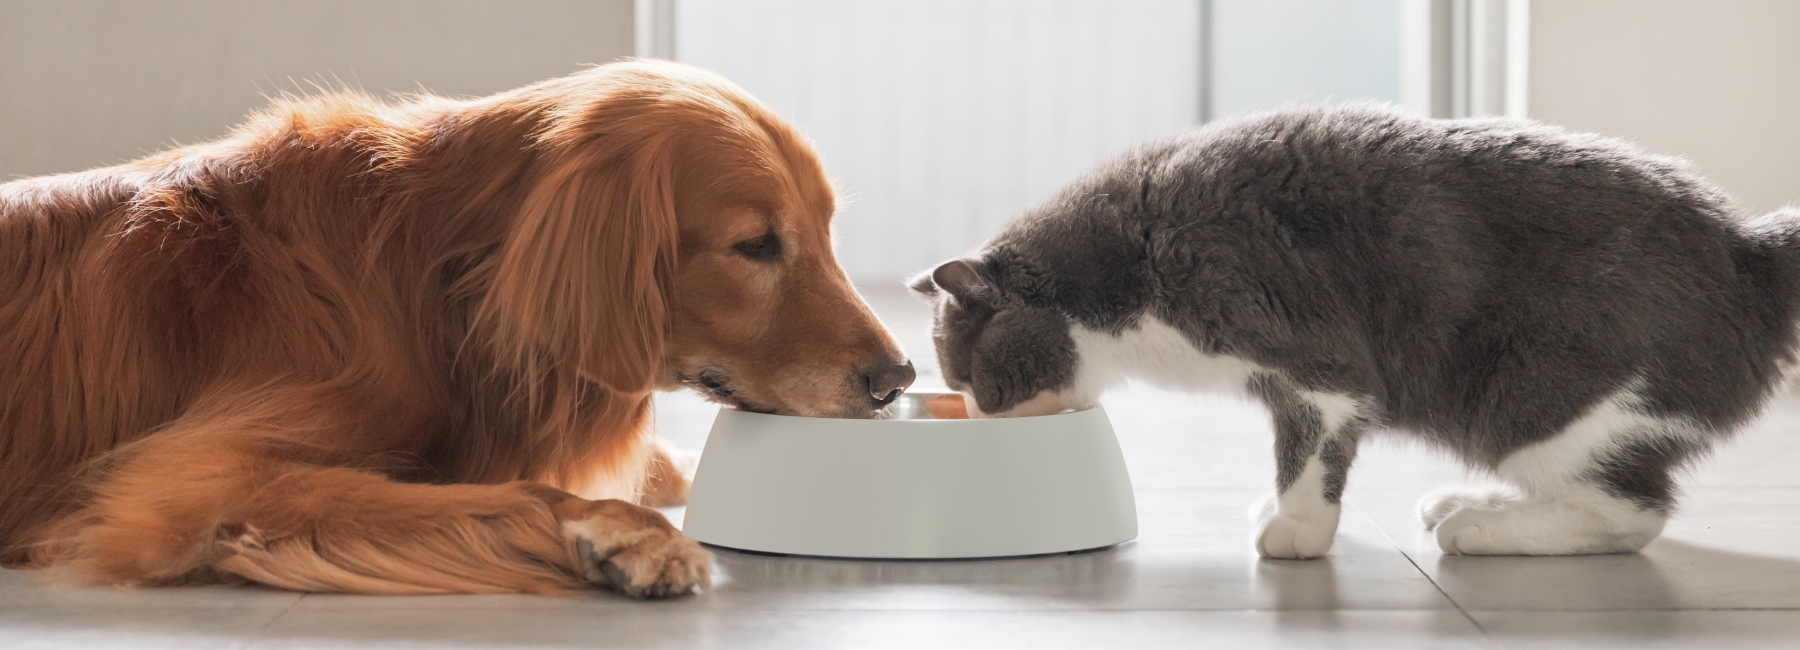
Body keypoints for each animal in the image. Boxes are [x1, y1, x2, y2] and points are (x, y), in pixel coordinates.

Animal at [0, 58, 914, 594]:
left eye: (827, 230)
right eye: (754, 245)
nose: (897, 379)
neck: (430, 283)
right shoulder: (182, 481)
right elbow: (492, 489)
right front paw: (620, 531)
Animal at [914, 104, 1800, 558]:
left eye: (974, 378)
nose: (977, 416)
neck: (1127, 269)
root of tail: (1747, 246)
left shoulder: (1311, 360)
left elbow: (1310, 456)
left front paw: (1294, 532)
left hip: (1537, 390)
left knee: (1632, 512)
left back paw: (1479, 528)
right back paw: (1468, 501)